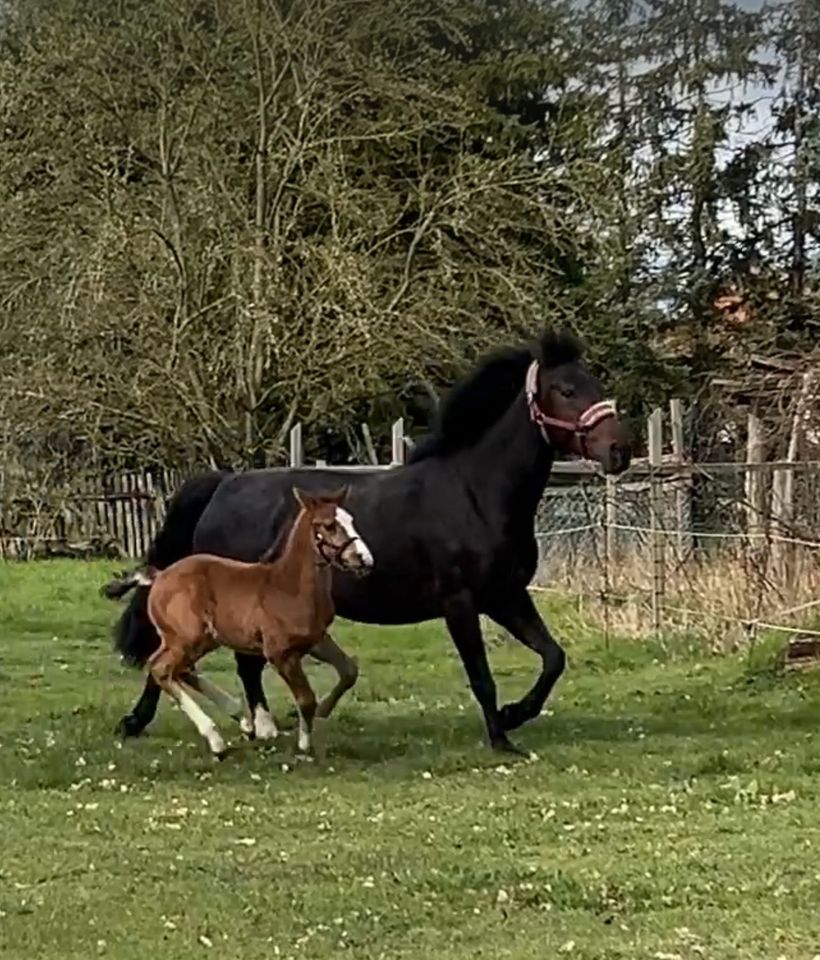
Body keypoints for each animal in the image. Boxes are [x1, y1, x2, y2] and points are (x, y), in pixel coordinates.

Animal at [139, 492, 374, 760]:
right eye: (328, 525)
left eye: (350, 520)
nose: (365, 559)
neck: (291, 588)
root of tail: (160, 576)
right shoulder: (280, 653)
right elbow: (306, 698)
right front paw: (304, 747)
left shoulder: (317, 640)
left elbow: (348, 671)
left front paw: (323, 710)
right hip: (187, 639)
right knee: (161, 669)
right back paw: (216, 739)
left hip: (201, 640)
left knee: (177, 669)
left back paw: (240, 716)